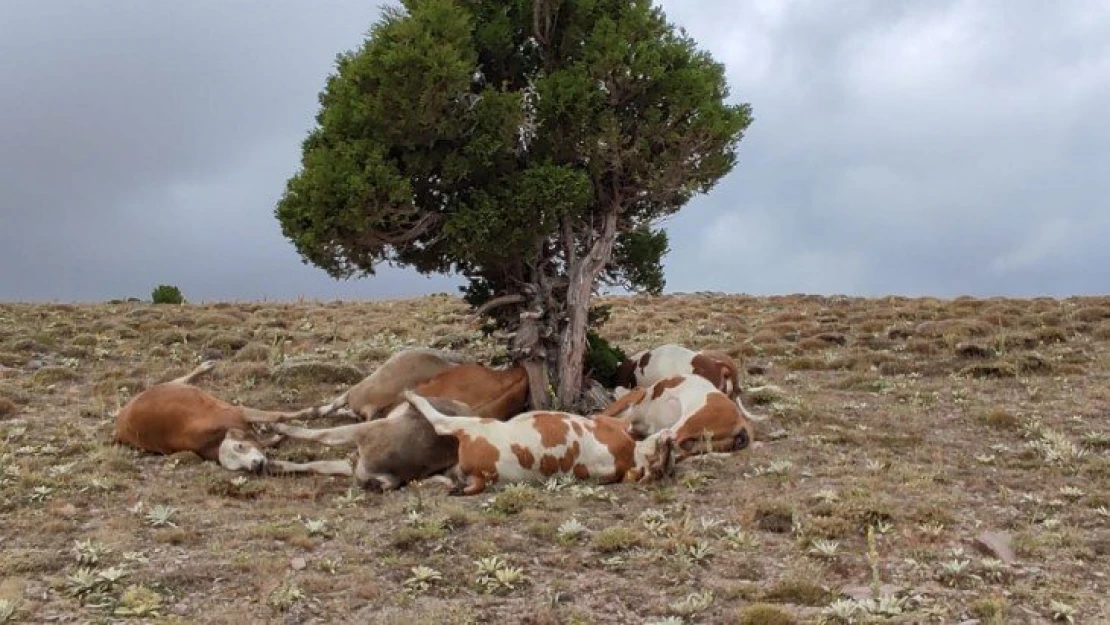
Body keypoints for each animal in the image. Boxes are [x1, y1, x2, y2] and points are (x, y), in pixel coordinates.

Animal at [111, 361, 321, 475]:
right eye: (238, 468)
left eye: (240, 446)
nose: (255, 466)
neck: (214, 440)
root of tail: (120, 420)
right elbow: (271, 432)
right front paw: (278, 436)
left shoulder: (239, 411)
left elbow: (280, 415)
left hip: (166, 387)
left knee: (178, 380)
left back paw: (204, 368)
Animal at [399, 388, 674, 497]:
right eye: (662, 462)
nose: (669, 440)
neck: (630, 456)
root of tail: (483, 476)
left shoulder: (605, 422)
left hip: (470, 425)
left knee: (438, 421)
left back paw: (412, 395)